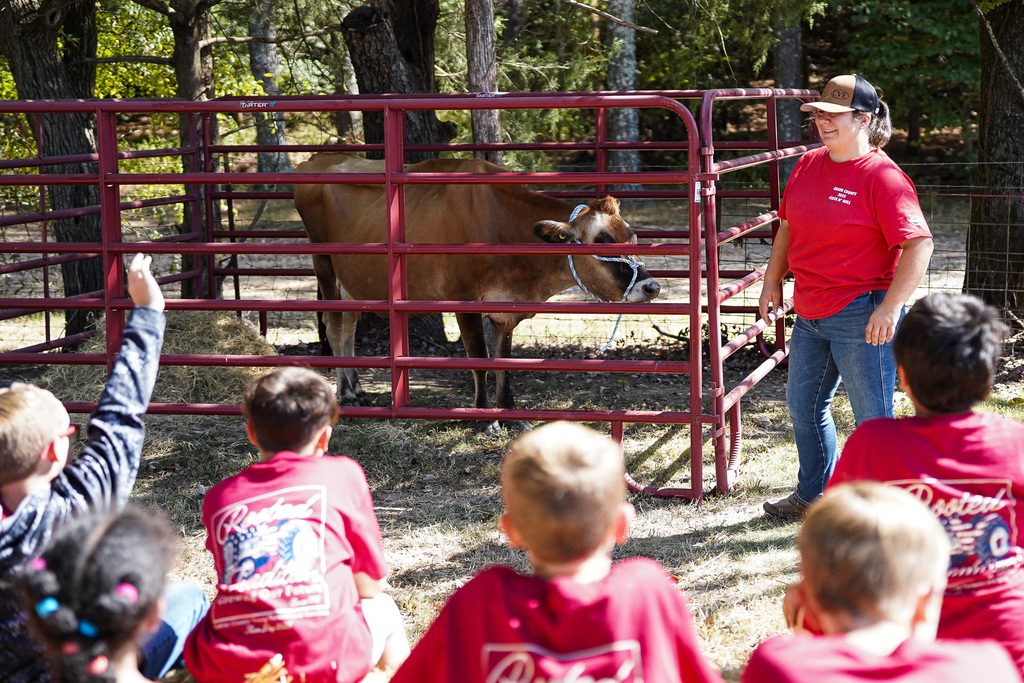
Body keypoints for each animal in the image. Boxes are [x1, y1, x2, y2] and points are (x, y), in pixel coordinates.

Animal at [293, 153, 660, 428]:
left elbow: (503, 360)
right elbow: (480, 360)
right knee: (334, 325)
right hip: (324, 265)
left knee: (349, 325)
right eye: (603, 240)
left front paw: (509, 412)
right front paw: (484, 417)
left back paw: (355, 389)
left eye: (632, 236)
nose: (651, 286)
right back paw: (344, 393)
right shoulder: (464, 301)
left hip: (351, 281)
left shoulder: (507, 307)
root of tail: (318, 159)